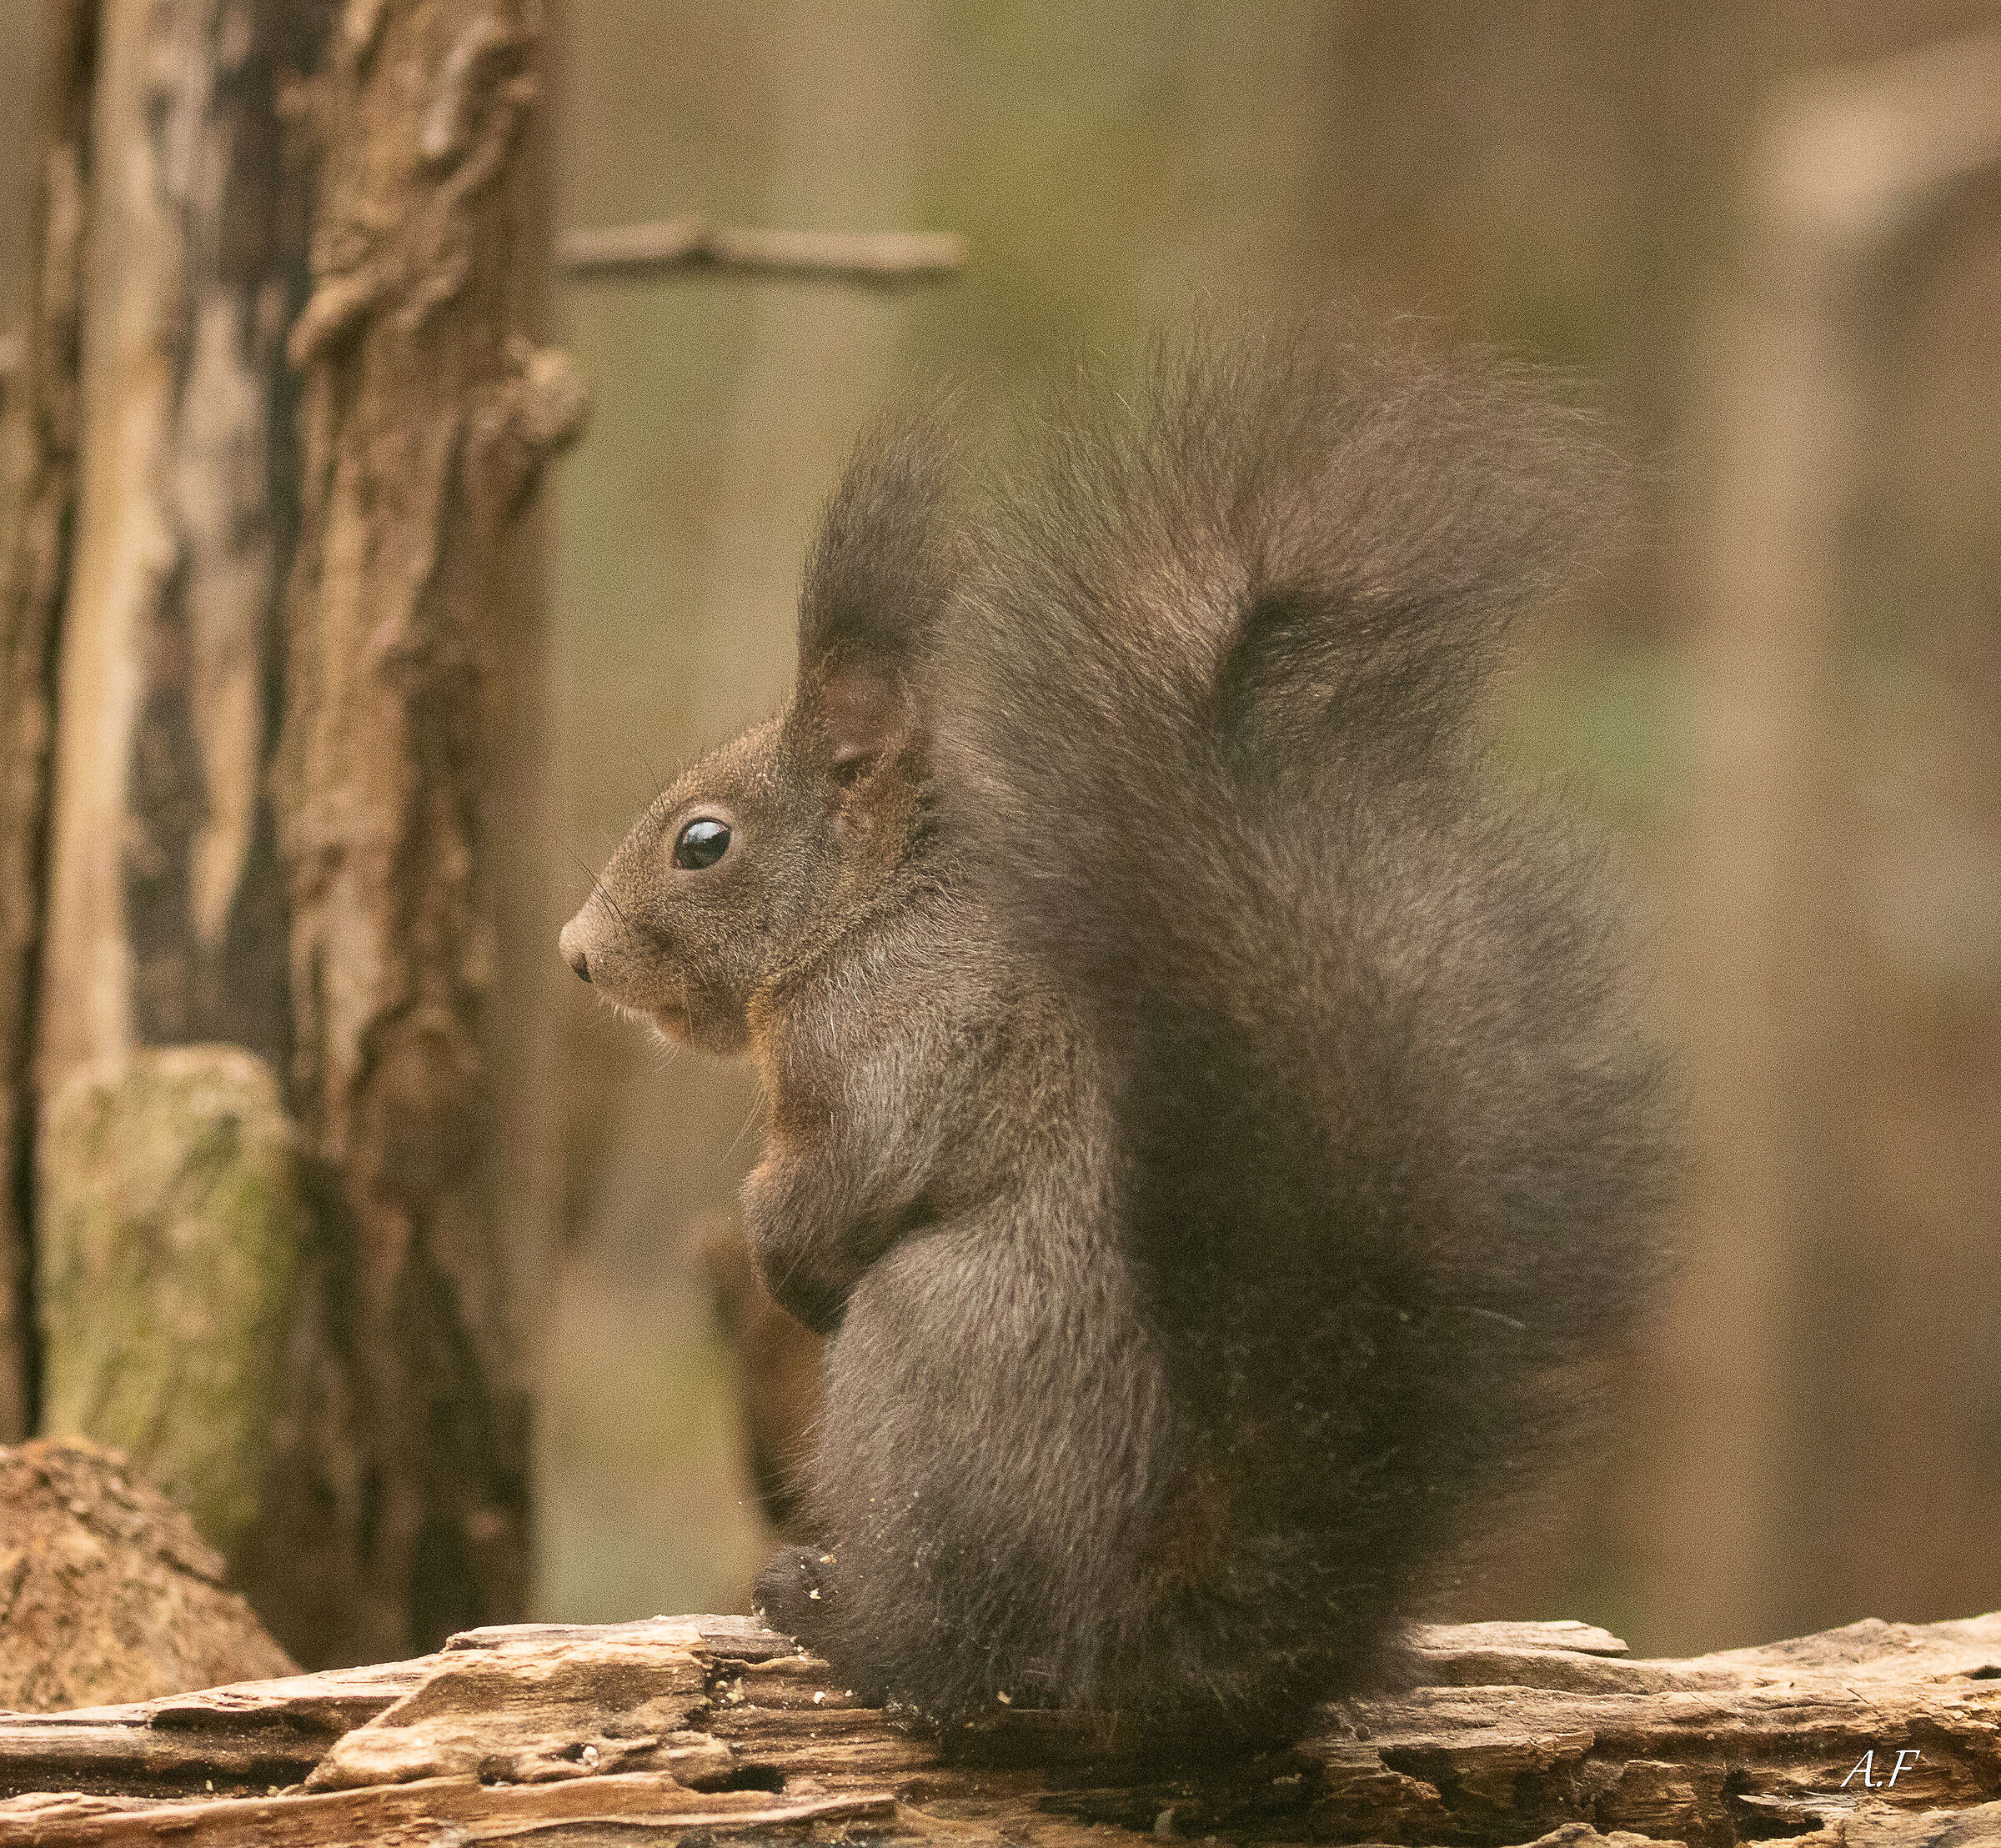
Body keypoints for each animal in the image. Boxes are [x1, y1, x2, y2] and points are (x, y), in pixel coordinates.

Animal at [559, 321, 1675, 1744]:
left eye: (703, 842)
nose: (576, 955)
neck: (877, 908)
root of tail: (1143, 1648)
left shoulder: (894, 1043)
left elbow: (844, 1178)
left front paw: (787, 1264)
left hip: (923, 1350)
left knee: (953, 1661)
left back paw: (832, 1615)